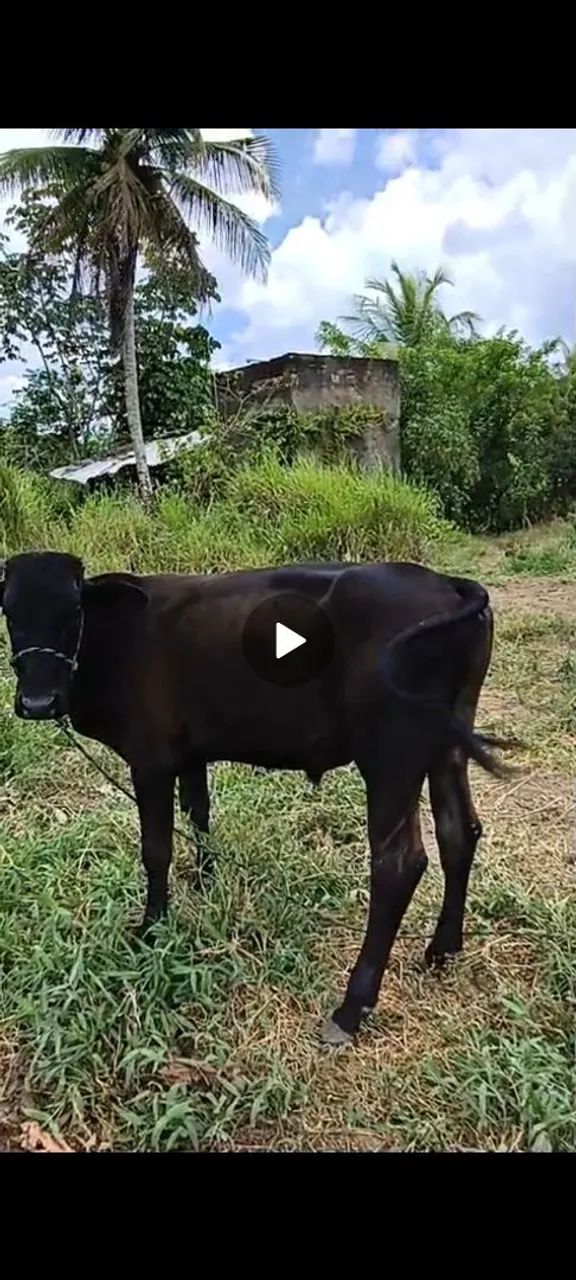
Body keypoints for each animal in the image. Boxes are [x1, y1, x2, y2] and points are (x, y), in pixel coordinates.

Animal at [0, 551, 508, 1045]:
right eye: (8, 612)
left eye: (72, 610)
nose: (38, 702)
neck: (114, 637)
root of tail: (443, 583)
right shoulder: (190, 753)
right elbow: (198, 814)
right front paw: (205, 880)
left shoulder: (150, 761)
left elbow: (156, 849)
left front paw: (151, 927)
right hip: (446, 747)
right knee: (459, 832)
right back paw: (443, 947)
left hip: (391, 759)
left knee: (399, 864)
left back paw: (350, 1009)